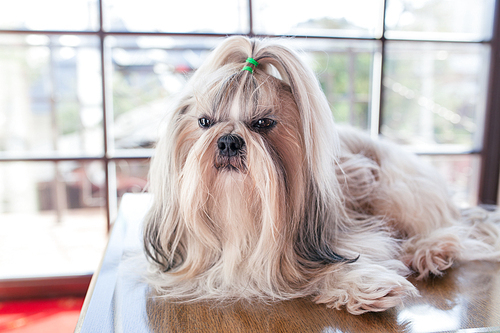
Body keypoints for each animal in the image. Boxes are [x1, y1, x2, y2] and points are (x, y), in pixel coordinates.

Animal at [142, 36, 500, 314]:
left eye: (263, 123)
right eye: (205, 122)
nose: (229, 140)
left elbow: (340, 262)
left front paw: (363, 283)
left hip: (396, 190)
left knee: (448, 226)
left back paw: (430, 251)